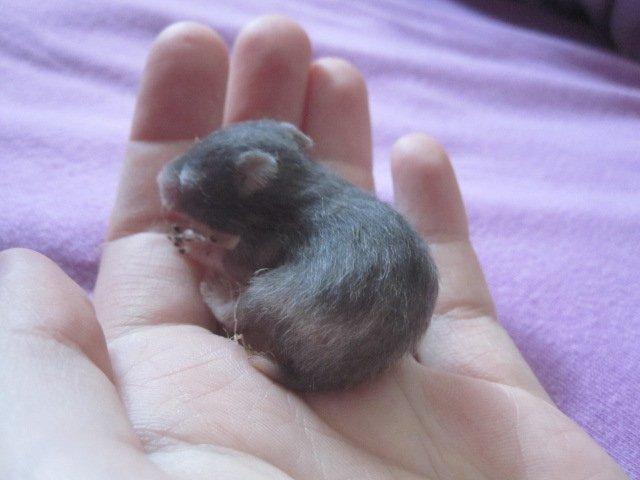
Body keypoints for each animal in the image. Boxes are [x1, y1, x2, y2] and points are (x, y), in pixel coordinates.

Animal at [157, 119, 438, 392]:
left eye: (189, 184)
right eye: (198, 141)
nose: (159, 180)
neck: (298, 179)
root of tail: (322, 375)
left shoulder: (264, 240)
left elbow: (235, 262)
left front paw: (197, 244)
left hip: (276, 294)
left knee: (239, 309)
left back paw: (215, 292)